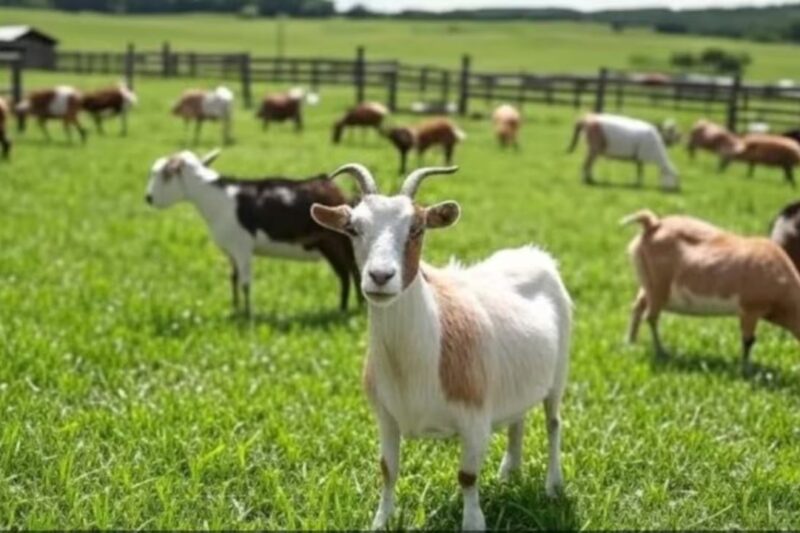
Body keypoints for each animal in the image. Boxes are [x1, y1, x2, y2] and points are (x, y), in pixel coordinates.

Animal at [145, 150, 361, 315]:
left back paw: (349, 308)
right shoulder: (231, 251)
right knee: (348, 273)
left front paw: (248, 314)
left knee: (350, 272)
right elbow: (233, 278)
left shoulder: (242, 247)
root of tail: (339, 191)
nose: (148, 198)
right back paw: (349, 307)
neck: (217, 199)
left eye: (165, 175)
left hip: (336, 242)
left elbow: (245, 283)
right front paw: (236, 310)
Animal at [310, 164, 572, 531]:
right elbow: (387, 470)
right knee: (517, 420)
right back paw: (509, 472)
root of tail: (535, 254)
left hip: (558, 374)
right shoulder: (386, 416)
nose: (380, 276)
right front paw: (381, 520)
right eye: (353, 228)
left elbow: (467, 477)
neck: (411, 366)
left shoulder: (475, 418)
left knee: (553, 423)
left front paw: (473, 523)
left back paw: (553, 486)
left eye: (417, 228)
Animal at [622, 209, 800, 375]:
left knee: (638, 306)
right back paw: (661, 352)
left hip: (649, 285)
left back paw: (631, 343)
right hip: (659, 286)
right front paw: (746, 369)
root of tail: (653, 224)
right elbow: (748, 340)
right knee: (650, 316)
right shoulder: (750, 310)